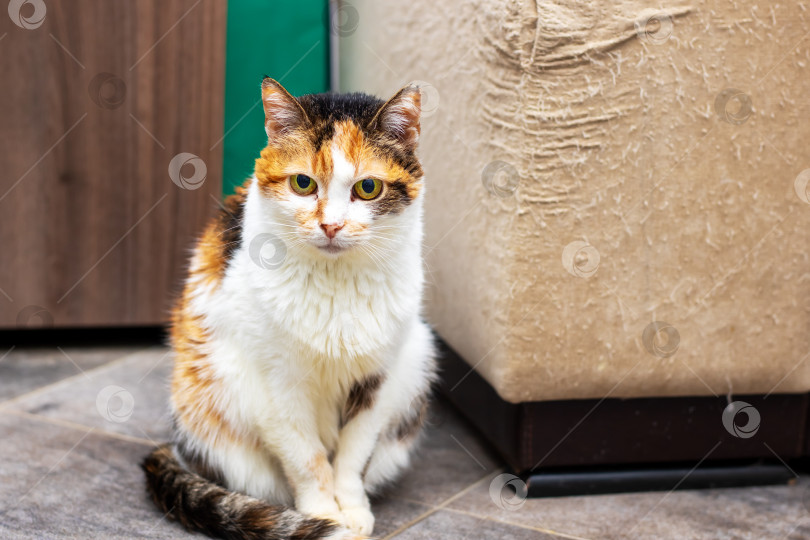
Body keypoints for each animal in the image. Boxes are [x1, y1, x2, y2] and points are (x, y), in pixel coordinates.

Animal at [142, 77, 438, 540]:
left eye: (367, 188)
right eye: (303, 183)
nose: (331, 225)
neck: (335, 285)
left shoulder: (378, 379)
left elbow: (354, 454)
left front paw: (353, 510)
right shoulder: (274, 384)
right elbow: (307, 459)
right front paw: (323, 516)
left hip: (418, 353)